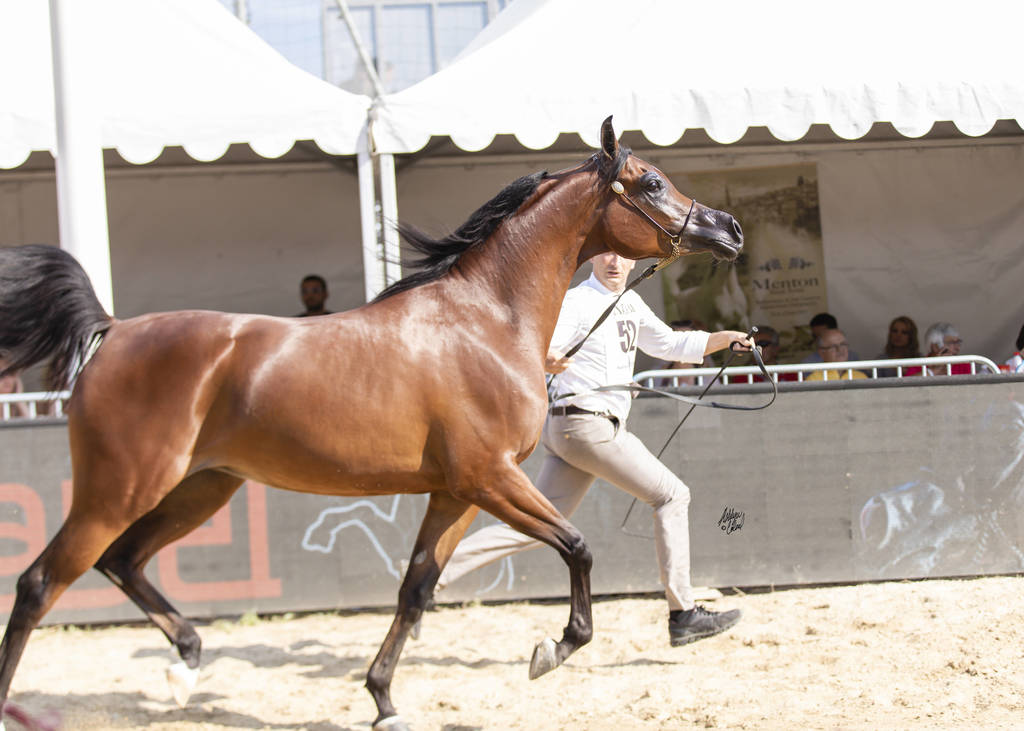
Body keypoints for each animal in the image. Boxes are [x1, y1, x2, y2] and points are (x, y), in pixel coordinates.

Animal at [0, 117, 743, 731]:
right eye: (651, 181)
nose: (729, 229)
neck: (485, 320)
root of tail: (113, 331)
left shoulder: (454, 493)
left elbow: (416, 588)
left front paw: (383, 698)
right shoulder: (490, 477)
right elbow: (578, 546)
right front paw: (552, 648)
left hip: (201, 487)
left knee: (121, 560)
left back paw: (185, 663)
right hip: (118, 489)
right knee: (40, 582)